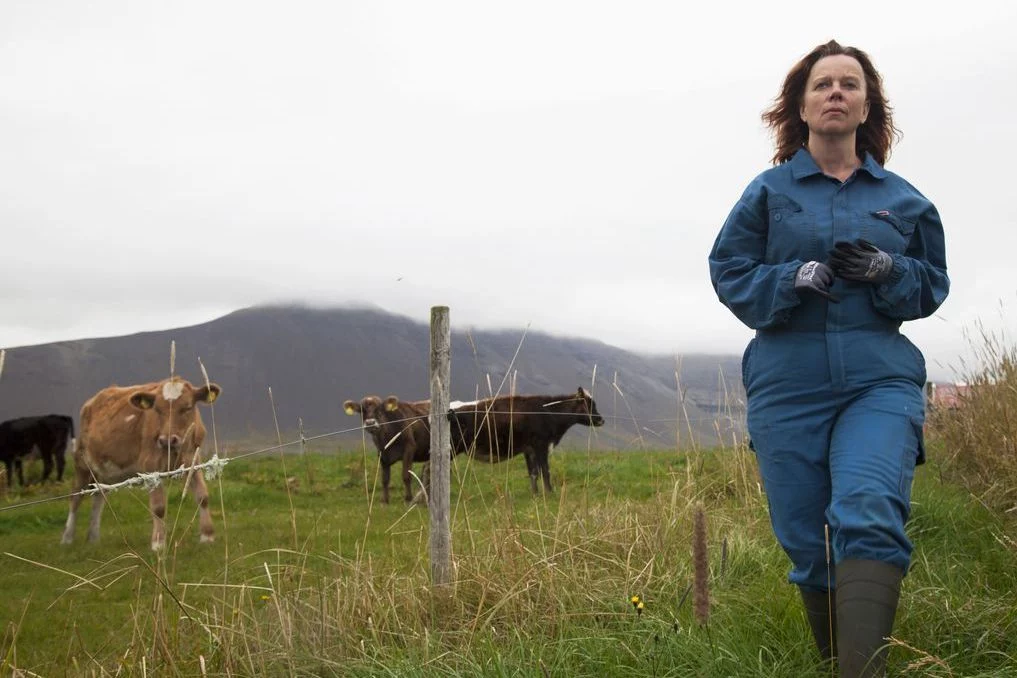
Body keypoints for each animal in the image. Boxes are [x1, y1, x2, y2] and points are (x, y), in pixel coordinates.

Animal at [60, 377, 221, 550]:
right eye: (157, 409)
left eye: (187, 407)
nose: (167, 440)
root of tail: (92, 401)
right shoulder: (151, 466)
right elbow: (158, 507)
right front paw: (158, 543)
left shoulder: (193, 461)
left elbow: (202, 496)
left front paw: (207, 536)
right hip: (82, 462)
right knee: (75, 496)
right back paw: (67, 537)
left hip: (104, 470)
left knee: (99, 496)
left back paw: (93, 538)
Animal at [447, 387, 604, 494]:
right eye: (589, 405)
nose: (601, 420)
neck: (549, 413)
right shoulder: (541, 445)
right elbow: (545, 470)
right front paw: (549, 492)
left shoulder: (529, 449)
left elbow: (533, 472)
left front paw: (535, 494)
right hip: (452, 448)